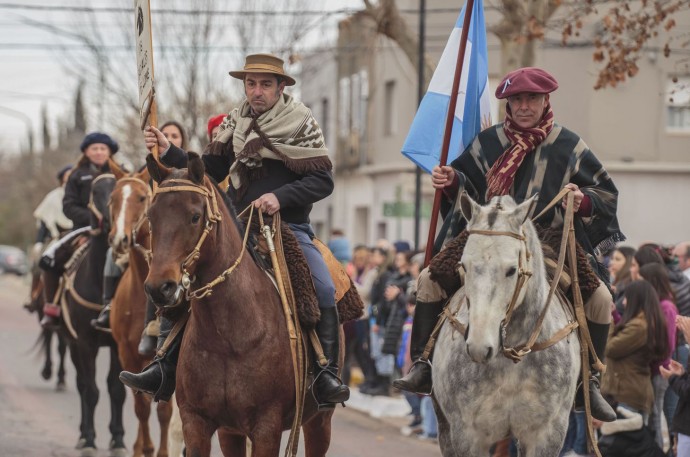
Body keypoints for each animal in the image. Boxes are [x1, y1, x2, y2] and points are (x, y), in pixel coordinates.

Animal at [144, 154, 336, 456]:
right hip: (229, 432)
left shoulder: (266, 428)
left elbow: (320, 178)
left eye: (195, 216)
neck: (227, 336)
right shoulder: (196, 423)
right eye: (151, 217)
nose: (159, 288)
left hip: (319, 421)